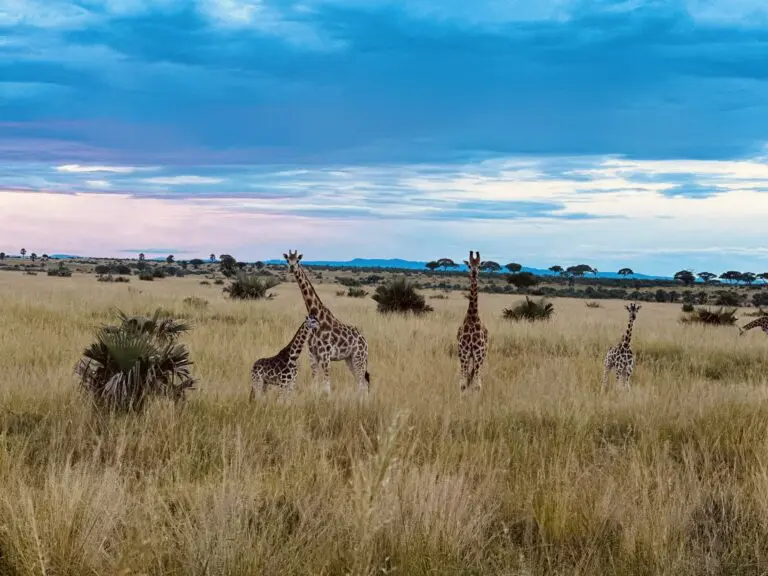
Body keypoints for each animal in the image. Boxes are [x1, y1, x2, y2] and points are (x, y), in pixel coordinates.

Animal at [283, 250, 370, 394]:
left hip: (359, 358)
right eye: (287, 260)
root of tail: (365, 341)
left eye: (298, 260)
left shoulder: (325, 355)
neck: (317, 315)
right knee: (361, 383)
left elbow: (326, 387)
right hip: (350, 359)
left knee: (363, 383)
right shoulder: (313, 355)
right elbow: (314, 384)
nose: (291, 267)